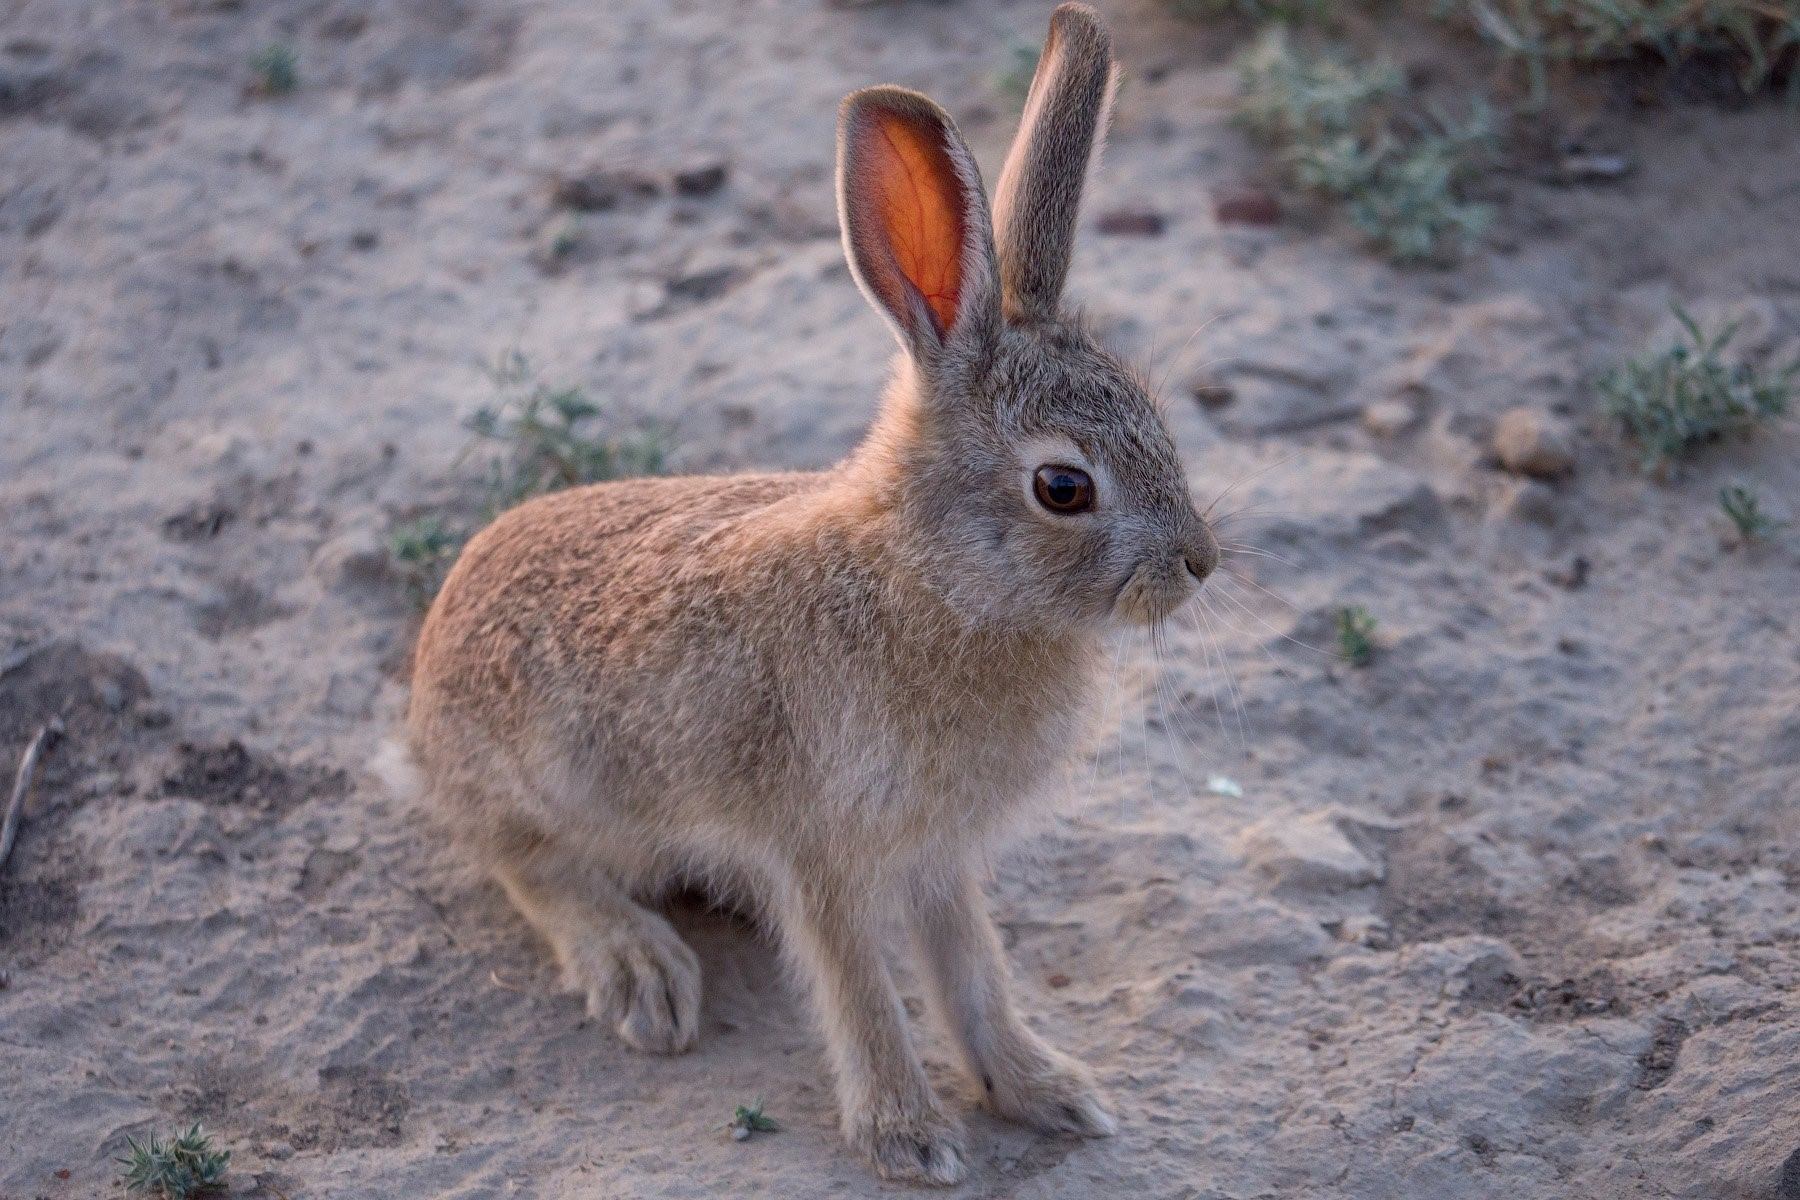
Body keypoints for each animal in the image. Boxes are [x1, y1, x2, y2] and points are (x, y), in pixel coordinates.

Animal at [399, 0, 1216, 1180]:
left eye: (1160, 422)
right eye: (1064, 487)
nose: (1199, 562)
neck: (932, 579)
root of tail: (420, 700)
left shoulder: (938, 855)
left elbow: (974, 971)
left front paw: (1043, 1089)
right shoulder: (820, 846)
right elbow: (862, 989)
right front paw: (907, 1137)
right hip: (549, 780)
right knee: (519, 860)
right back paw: (638, 966)